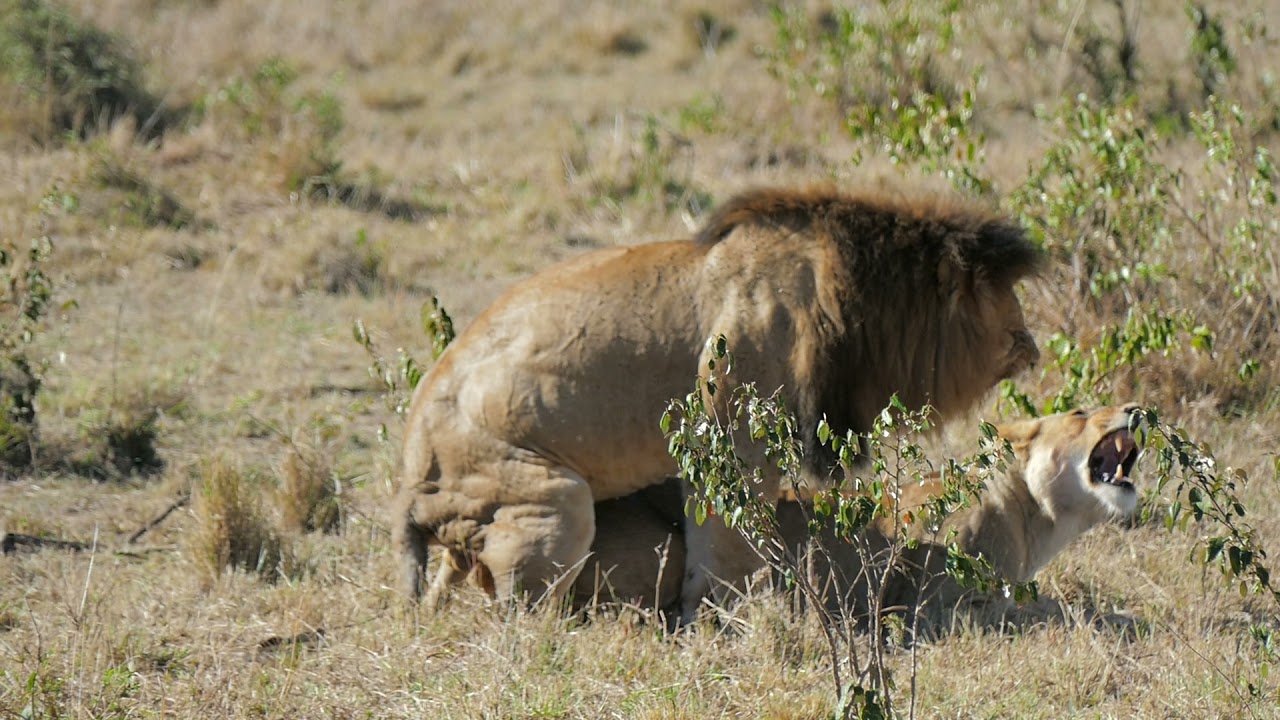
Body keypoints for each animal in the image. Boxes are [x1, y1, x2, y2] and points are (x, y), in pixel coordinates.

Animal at [391, 186, 1044, 621]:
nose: (1035, 348)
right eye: (1007, 306)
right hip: (553, 500)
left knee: (452, 580)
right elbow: (730, 545)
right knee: (518, 613)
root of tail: (408, 482)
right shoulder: (734, 436)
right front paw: (735, 615)